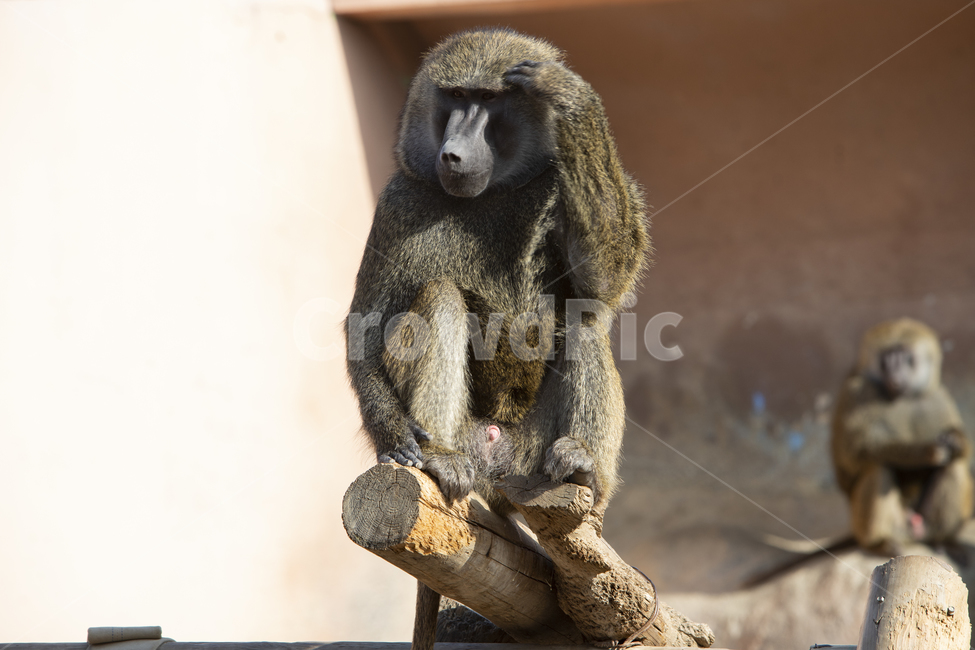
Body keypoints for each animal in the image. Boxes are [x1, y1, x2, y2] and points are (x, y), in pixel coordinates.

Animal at [345, 28, 648, 648]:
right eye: (455, 97)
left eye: (489, 102)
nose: (453, 154)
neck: (491, 193)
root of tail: (496, 461)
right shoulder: (396, 202)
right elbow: (365, 325)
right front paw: (396, 442)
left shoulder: (558, 189)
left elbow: (603, 281)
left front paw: (568, 97)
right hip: (471, 439)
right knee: (439, 296)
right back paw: (439, 459)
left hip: (532, 457)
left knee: (584, 317)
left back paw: (584, 469)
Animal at [831, 318, 973, 555]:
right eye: (887, 359)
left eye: (907, 358)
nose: (895, 373)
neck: (903, 397)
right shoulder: (857, 391)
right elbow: (855, 454)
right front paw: (926, 452)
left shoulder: (938, 397)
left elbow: (961, 450)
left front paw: (955, 441)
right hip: (872, 522)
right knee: (878, 466)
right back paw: (881, 542)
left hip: (923, 519)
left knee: (953, 464)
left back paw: (941, 539)